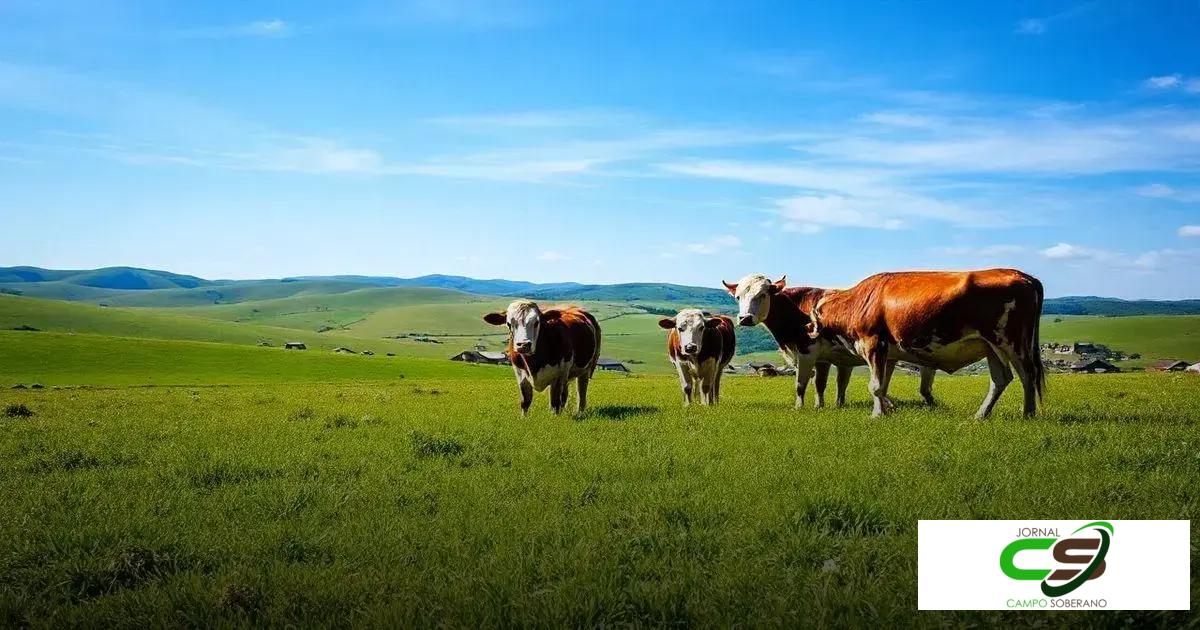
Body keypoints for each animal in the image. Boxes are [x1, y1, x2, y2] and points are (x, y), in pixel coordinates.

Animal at [732, 270, 1044, 419]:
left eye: (762, 294)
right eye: (738, 296)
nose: (744, 318)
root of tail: (1025, 276)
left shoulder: (822, 351)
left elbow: (805, 385)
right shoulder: (849, 357)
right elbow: (841, 385)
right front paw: (834, 406)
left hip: (1012, 343)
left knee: (1027, 375)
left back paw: (1027, 413)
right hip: (990, 346)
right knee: (1001, 379)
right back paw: (980, 416)